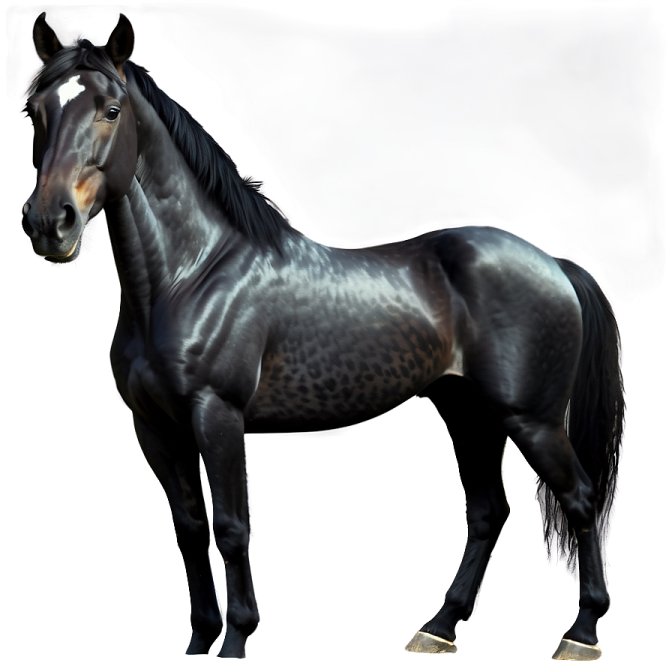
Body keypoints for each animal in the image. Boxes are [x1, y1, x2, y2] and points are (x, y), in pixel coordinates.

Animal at [20, 13, 624, 660]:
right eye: (35, 108)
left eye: (110, 109)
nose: (51, 222)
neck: (192, 274)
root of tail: (555, 264)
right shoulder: (154, 428)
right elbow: (188, 530)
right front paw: (201, 641)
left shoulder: (218, 416)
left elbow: (231, 532)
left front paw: (236, 641)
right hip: (468, 413)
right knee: (490, 514)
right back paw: (437, 630)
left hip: (532, 419)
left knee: (581, 501)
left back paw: (581, 637)